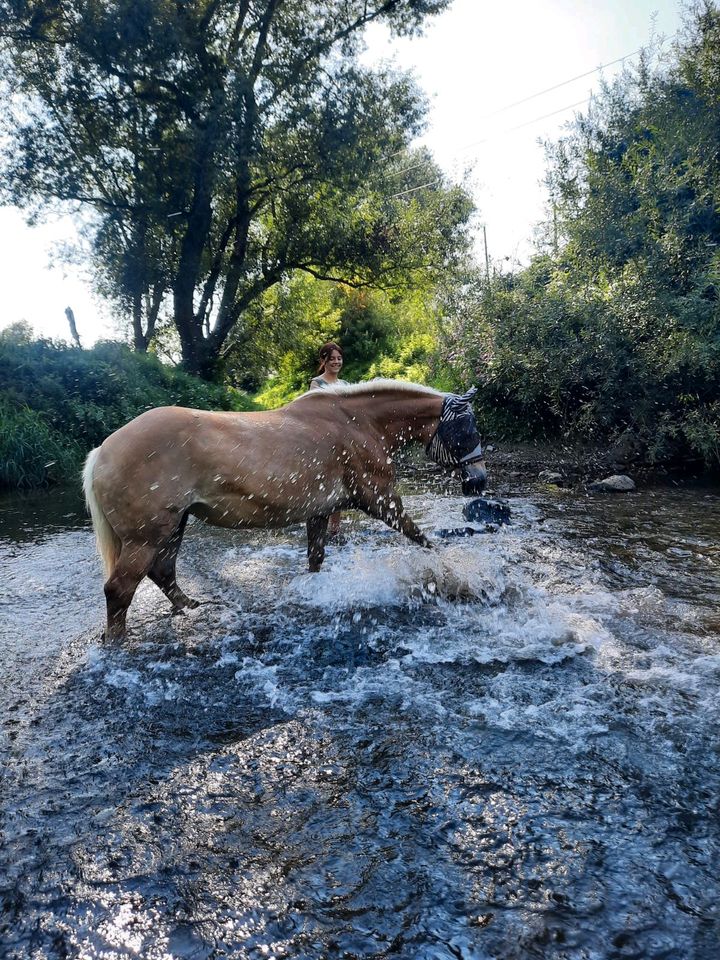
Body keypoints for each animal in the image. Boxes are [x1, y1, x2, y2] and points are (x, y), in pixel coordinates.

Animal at [83, 380, 490, 636]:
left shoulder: (321, 511)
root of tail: (101, 452)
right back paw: (116, 644)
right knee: (119, 589)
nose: (479, 480)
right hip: (147, 537)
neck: (358, 424)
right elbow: (423, 540)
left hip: (173, 527)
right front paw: (457, 575)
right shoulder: (381, 501)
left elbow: (315, 558)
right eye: (467, 428)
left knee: (162, 572)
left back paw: (192, 606)